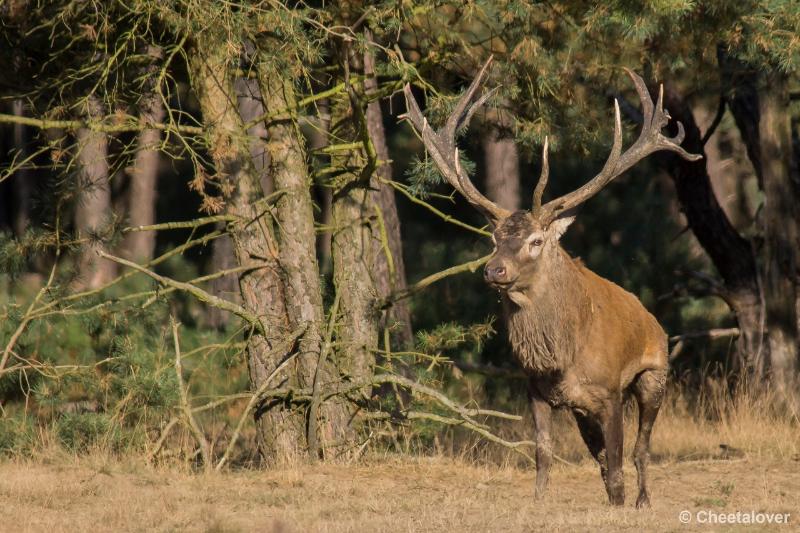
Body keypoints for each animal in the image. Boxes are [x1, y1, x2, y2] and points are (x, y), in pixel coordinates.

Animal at [400, 59, 700, 508]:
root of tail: (654, 320)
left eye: (536, 241)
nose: (494, 270)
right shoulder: (537, 390)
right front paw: (539, 500)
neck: (562, 357)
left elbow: (618, 462)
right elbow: (544, 452)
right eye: (494, 238)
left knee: (641, 448)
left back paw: (644, 499)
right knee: (602, 456)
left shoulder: (610, 390)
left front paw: (620, 505)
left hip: (655, 374)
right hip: (582, 410)